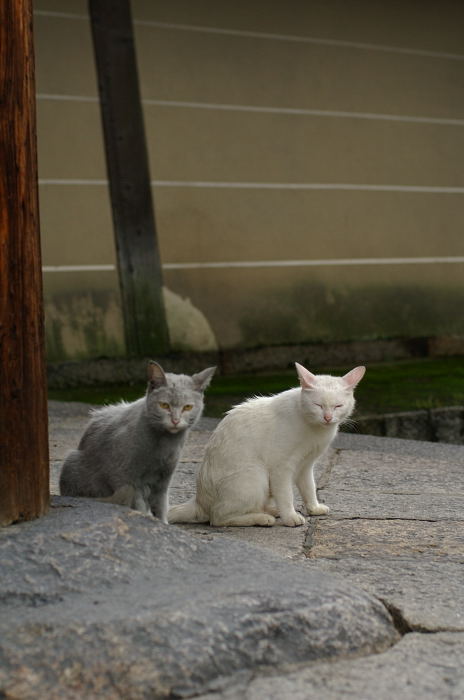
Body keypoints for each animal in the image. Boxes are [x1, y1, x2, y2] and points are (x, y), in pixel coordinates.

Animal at [59, 360, 216, 520]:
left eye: (188, 407)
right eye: (164, 405)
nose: (175, 420)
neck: (164, 444)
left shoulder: (163, 482)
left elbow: (161, 507)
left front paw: (162, 522)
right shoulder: (127, 479)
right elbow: (139, 505)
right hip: (74, 463)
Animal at [168, 364, 366, 528]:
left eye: (338, 406)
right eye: (318, 405)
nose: (327, 417)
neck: (315, 429)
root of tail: (199, 502)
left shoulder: (305, 465)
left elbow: (309, 488)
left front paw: (313, 508)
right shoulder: (281, 468)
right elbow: (286, 495)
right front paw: (290, 517)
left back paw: (270, 510)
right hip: (255, 476)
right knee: (218, 518)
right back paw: (262, 518)